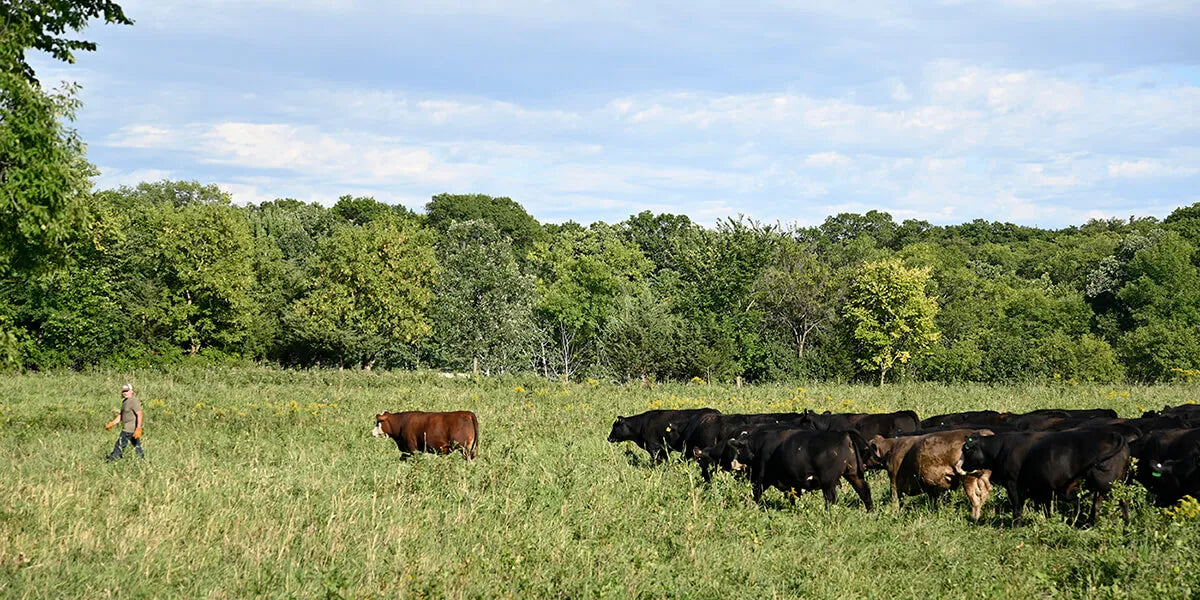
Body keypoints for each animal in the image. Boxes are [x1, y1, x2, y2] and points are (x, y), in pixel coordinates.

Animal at [708, 427, 876, 510]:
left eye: (738, 449)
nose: (733, 463)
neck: (760, 444)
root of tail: (843, 434)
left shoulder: (761, 477)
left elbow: (756, 493)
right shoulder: (791, 483)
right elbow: (792, 497)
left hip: (828, 482)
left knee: (831, 498)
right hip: (854, 475)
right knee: (865, 491)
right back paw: (870, 511)